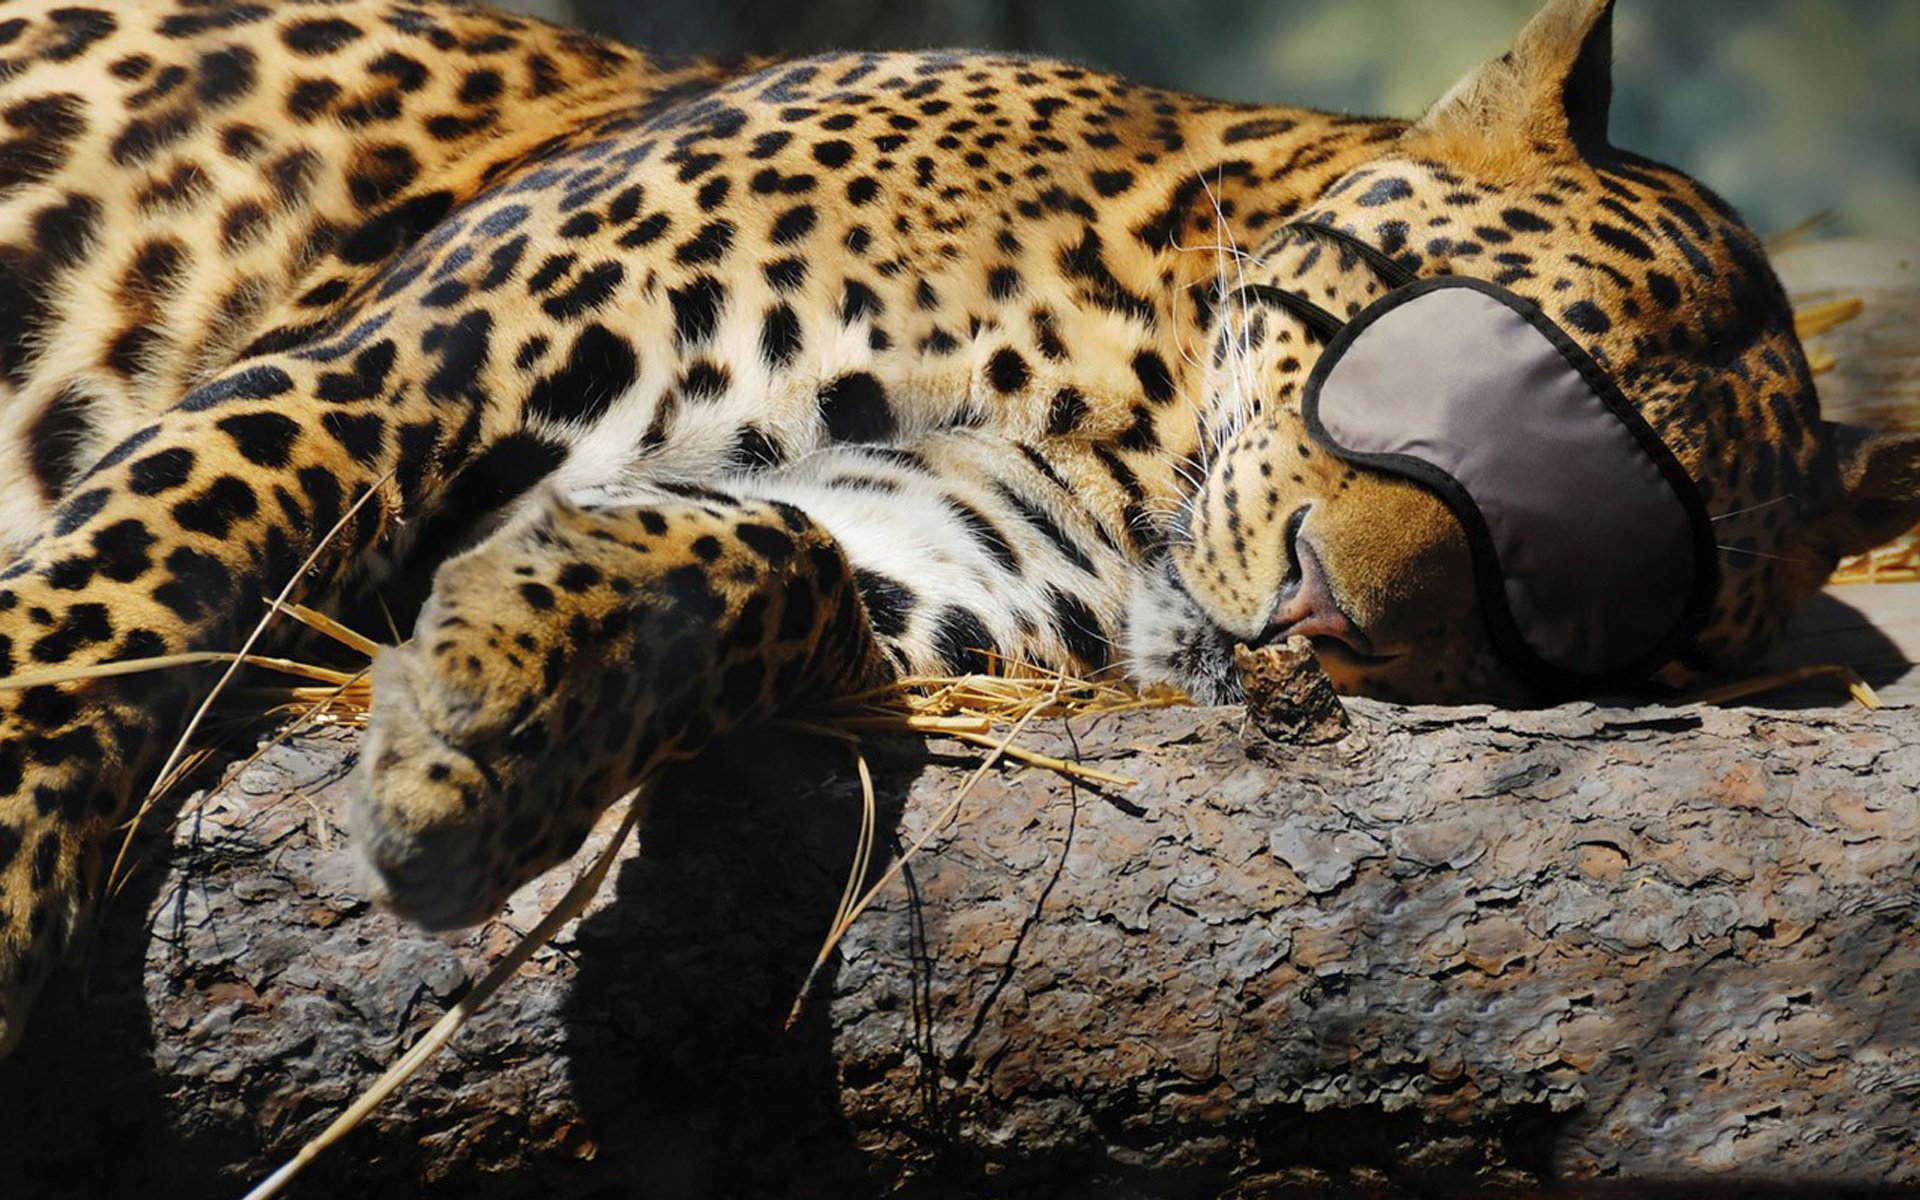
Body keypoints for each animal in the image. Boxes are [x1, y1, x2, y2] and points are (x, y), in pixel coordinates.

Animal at [0, 0, 1915, 1059]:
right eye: (1436, 357)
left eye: (1566, 608)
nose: (1328, 619)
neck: (1117, 391)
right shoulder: (400, 367)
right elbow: (107, 608)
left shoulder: (938, 549)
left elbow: (759, 556)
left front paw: (494, 716)